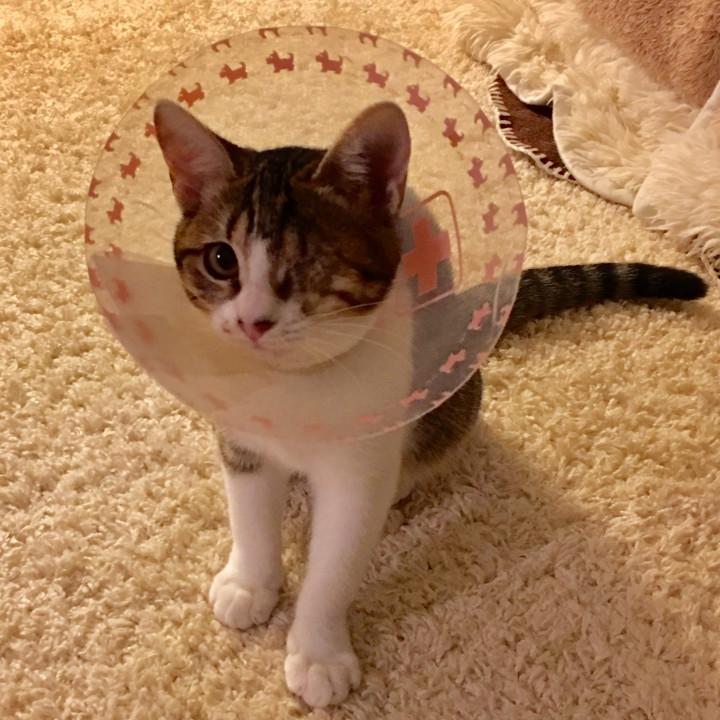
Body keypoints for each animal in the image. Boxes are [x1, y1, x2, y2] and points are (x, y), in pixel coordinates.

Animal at [153, 99, 707, 708]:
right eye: (221, 259)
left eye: (312, 263)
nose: (253, 322)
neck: (297, 384)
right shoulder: (240, 434)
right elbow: (250, 511)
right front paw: (251, 582)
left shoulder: (361, 465)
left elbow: (335, 563)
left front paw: (318, 651)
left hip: (452, 396)